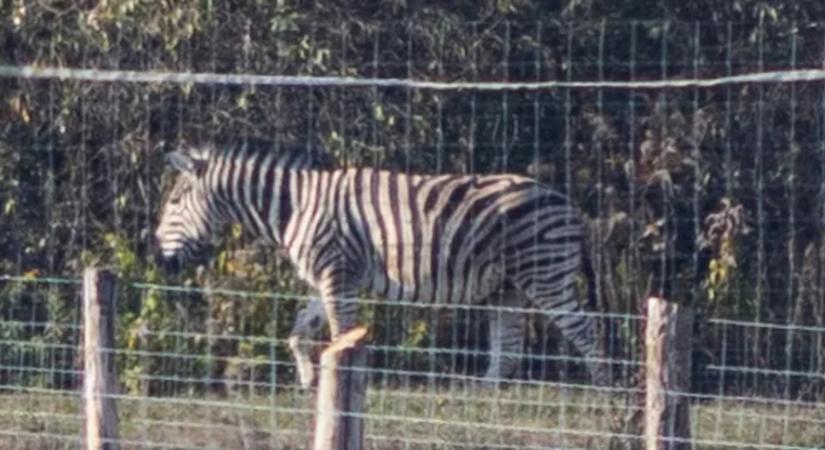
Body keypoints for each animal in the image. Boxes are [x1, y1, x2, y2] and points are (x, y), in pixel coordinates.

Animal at [154, 140, 604, 386]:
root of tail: (570, 206)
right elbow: (298, 333)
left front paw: (343, 392)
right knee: (507, 354)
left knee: (590, 337)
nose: (159, 258)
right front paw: (310, 380)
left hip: (545, 277)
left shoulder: (336, 273)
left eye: (174, 201)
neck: (294, 207)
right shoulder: (326, 276)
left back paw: (607, 405)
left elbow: (341, 336)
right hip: (506, 288)